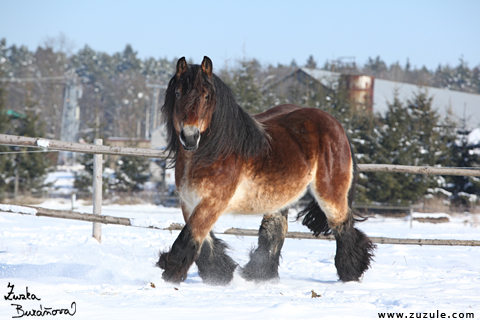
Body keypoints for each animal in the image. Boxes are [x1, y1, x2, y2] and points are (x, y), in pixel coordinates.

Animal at [157, 55, 376, 284]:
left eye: (206, 96)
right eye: (178, 93)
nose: (189, 137)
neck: (214, 150)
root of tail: (337, 125)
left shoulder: (213, 202)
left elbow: (189, 236)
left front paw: (171, 274)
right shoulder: (189, 203)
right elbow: (203, 240)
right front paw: (219, 275)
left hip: (330, 194)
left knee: (342, 226)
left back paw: (350, 273)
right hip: (281, 195)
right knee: (275, 229)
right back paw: (260, 275)